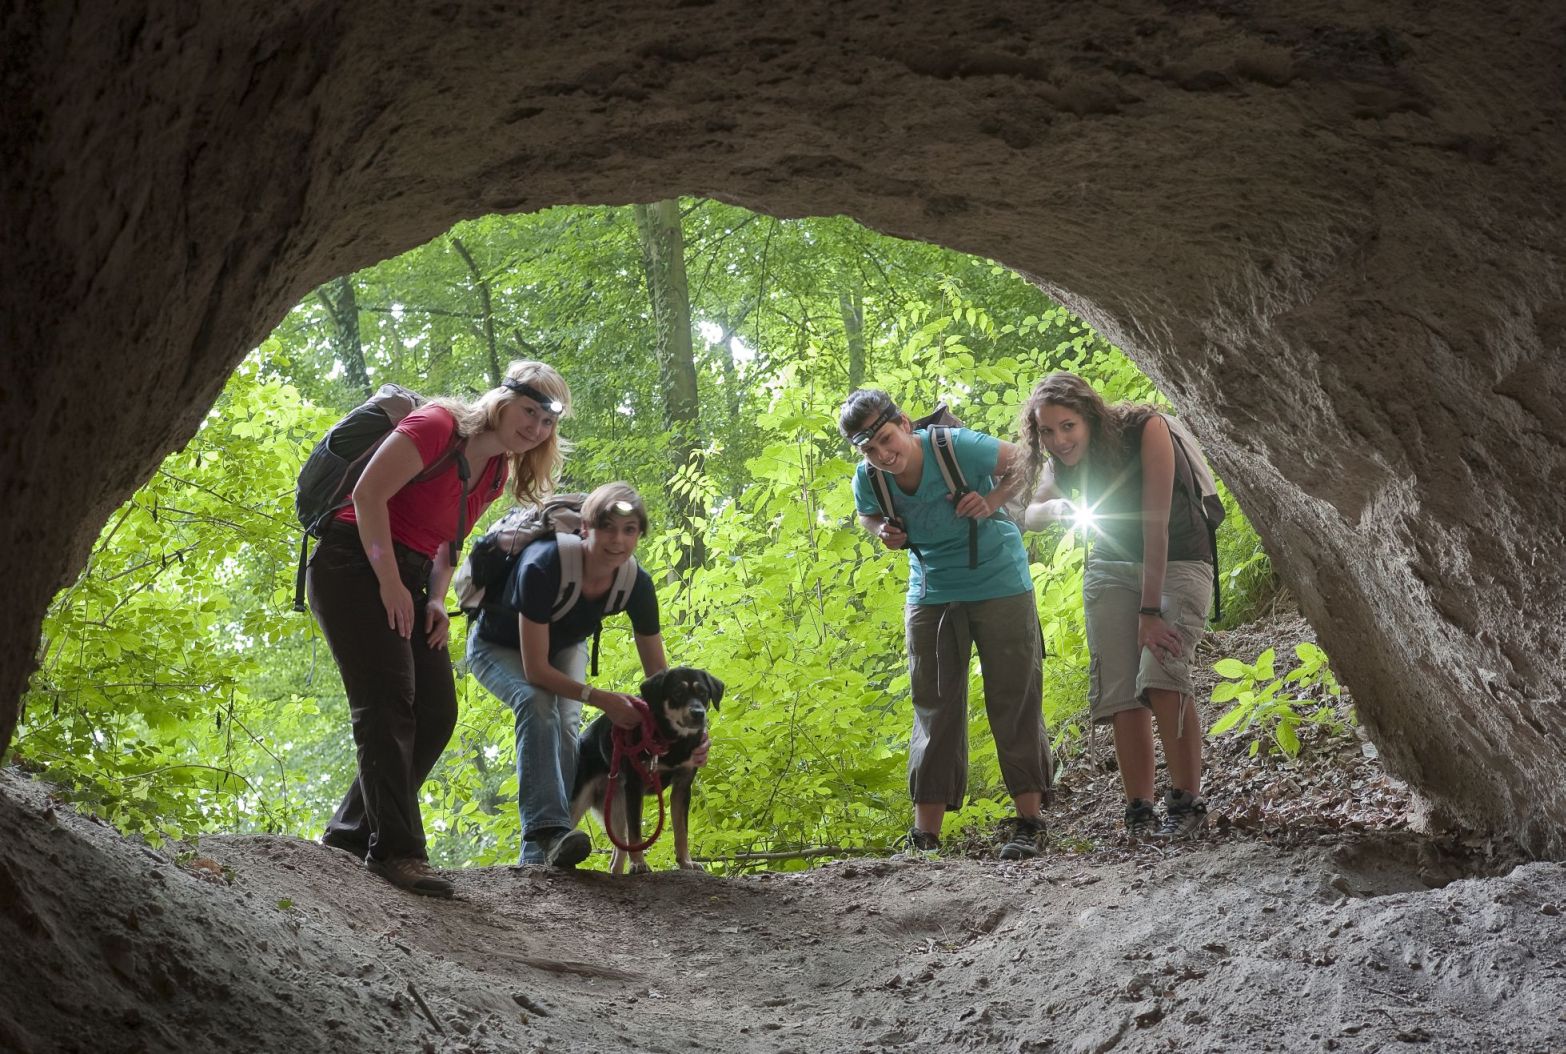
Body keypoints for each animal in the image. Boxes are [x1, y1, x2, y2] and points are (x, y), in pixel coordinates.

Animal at [573, 667, 723, 870]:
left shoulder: (682, 787)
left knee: (618, 854)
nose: (698, 713)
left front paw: (686, 862)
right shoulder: (635, 786)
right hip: (579, 803)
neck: (670, 740)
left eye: (704, 693)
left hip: (616, 809)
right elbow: (636, 833)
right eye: (677, 692)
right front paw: (638, 863)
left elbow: (681, 831)